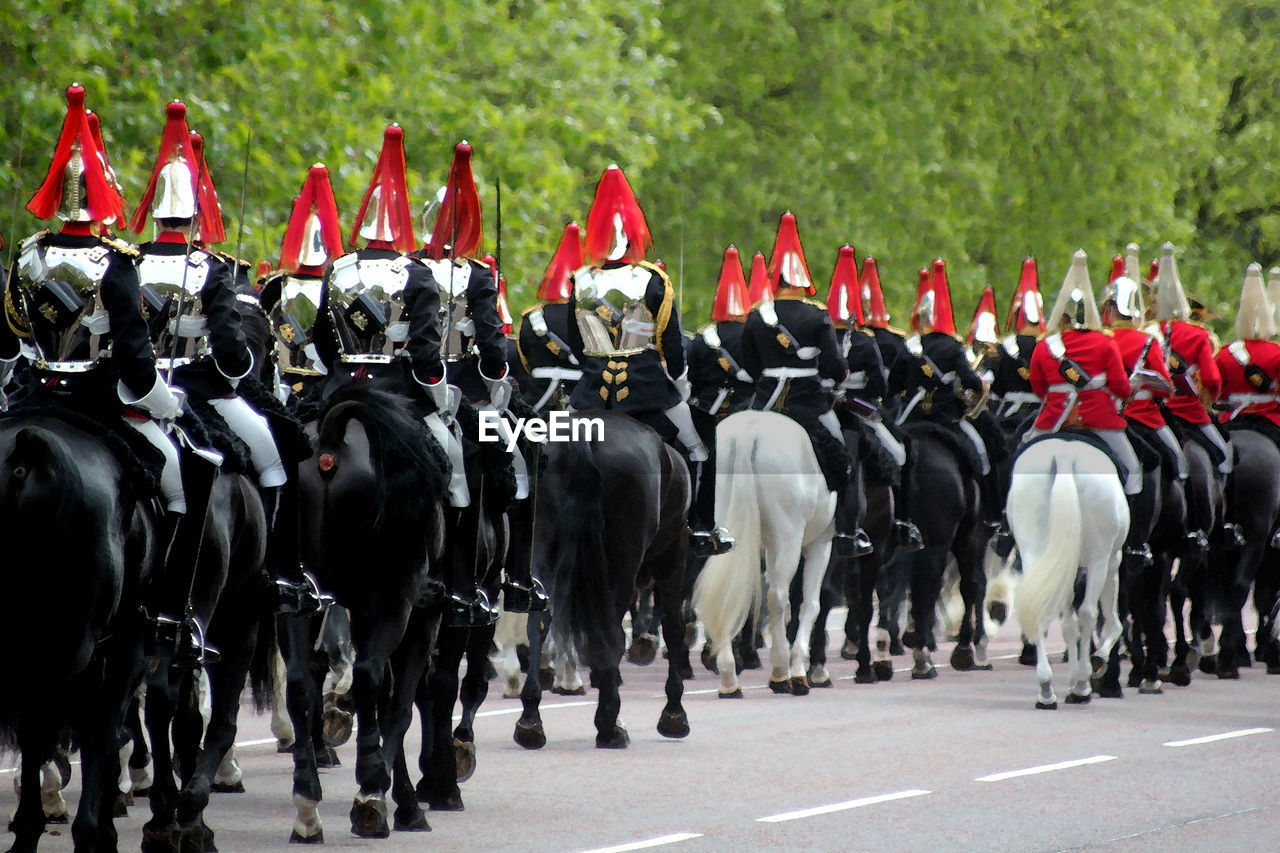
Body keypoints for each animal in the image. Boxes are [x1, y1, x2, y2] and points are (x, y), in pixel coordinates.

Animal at [512, 409, 696, 747]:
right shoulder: (674, 553)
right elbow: (673, 629)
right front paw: (674, 713)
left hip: (542, 551)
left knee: (539, 623)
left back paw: (531, 718)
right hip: (624, 563)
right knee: (613, 632)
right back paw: (609, 724)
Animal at [696, 409, 834, 696]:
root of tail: (749, 430)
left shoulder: (769, 547)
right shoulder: (822, 543)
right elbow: (812, 604)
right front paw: (803, 668)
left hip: (725, 533)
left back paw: (728, 676)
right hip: (789, 537)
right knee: (777, 597)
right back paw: (782, 672)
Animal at [1013, 435, 1126, 706]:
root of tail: (1064, 455)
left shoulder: (1064, 566)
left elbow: (1068, 626)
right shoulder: (1112, 560)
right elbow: (1110, 622)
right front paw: (1091, 666)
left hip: (1037, 553)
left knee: (1042, 608)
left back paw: (1046, 688)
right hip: (1099, 559)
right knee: (1088, 613)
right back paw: (1083, 684)